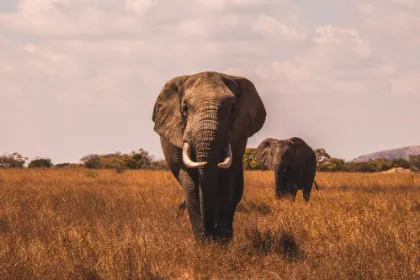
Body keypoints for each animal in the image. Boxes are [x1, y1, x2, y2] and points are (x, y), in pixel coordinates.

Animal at [153, 70, 268, 243]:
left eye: (233, 108)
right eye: (185, 108)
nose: (212, 231)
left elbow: (227, 183)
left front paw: (221, 242)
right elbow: (191, 185)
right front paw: (203, 243)